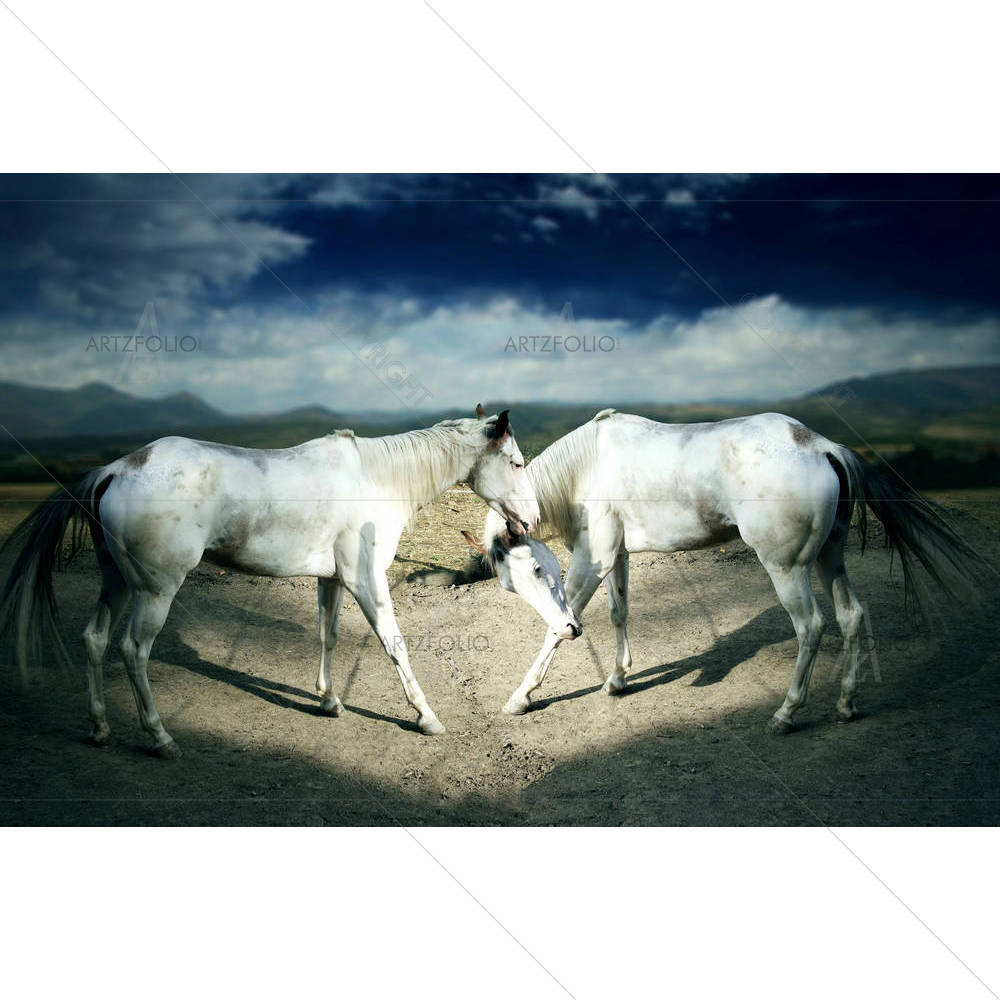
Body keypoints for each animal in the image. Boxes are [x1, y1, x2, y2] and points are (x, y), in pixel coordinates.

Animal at [0, 407, 540, 755]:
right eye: (516, 463)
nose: (530, 522)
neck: (374, 480)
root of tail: (117, 469)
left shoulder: (333, 580)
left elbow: (328, 635)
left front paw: (328, 701)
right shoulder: (367, 581)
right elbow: (394, 644)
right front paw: (426, 716)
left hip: (115, 582)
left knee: (93, 640)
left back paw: (99, 728)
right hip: (154, 592)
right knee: (134, 651)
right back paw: (160, 738)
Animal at [466, 408, 985, 731]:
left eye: (537, 568)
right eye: (513, 584)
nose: (571, 631)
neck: (589, 466)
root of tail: (821, 446)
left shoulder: (592, 562)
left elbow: (560, 623)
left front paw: (522, 696)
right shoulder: (618, 557)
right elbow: (620, 614)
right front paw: (617, 679)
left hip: (787, 568)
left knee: (811, 627)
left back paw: (786, 714)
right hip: (829, 558)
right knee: (852, 616)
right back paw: (846, 704)